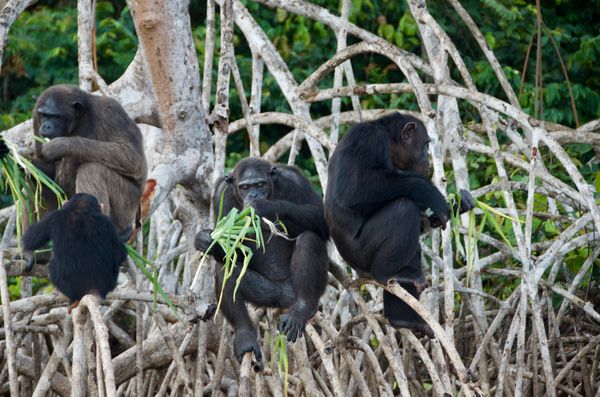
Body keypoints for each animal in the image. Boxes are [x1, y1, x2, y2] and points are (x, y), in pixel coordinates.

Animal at [30, 83, 148, 238]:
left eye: (55, 116)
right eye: (44, 115)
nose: (46, 126)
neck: (78, 120)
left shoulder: (111, 111)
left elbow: (131, 156)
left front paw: (60, 145)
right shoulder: (35, 118)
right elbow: (42, 165)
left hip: (128, 206)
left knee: (92, 169)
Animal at [195, 158, 328, 362]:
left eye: (260, 184)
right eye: (244, 187)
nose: (253, 194)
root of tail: (283, 299)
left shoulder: (295, 180)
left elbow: (320, 215)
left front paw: (262, 207)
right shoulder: (221, 194)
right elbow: (231, 246)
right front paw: (206, 240)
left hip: (293, 290)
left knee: (309, 238)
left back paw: (302, 309)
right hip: (266, 295)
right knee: (225, 268)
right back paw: (245, 337)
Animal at [326, 112, 476, 334]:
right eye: (425, 144)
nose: (427, 157)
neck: (390, 145)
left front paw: (460, 203)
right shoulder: (368, 139)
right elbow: (352, 189)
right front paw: (430, 191)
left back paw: (405, 319)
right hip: (360, 255)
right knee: (403, 208)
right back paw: (387, 273)